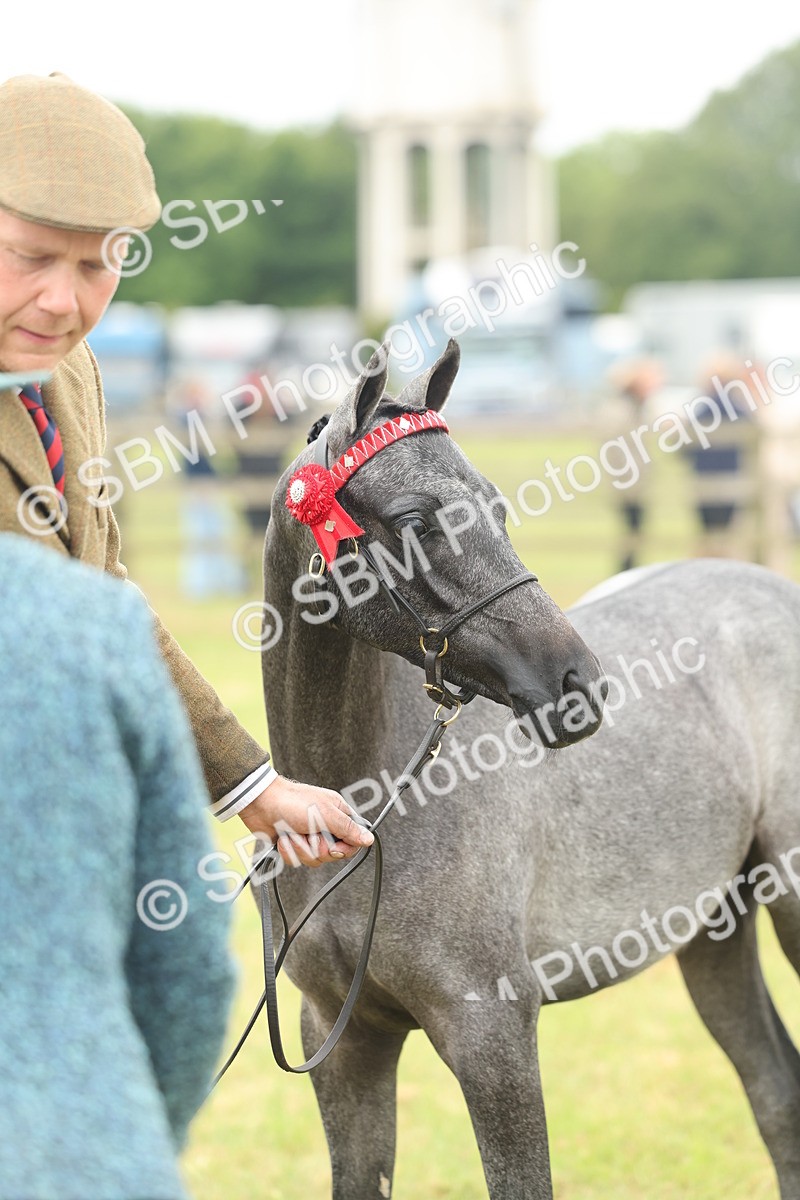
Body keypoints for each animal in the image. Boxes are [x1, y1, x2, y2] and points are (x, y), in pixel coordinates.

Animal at [260, 339, 800, 1199]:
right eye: (414, 521)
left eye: (497, 507)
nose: (577, 684)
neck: (359, 817)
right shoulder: (344, 1045)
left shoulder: (493, 1034)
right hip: (715, 931)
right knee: (776, 1093)